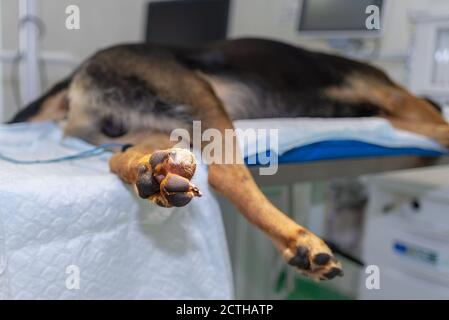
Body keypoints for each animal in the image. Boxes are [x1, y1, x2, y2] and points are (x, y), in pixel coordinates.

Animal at [7, 38, 448, 282]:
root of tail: (79, 72)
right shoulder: (394, 98)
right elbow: (435, 121)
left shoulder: (391, 113)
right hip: (200, 98)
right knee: (227, 175)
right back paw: (300, 241)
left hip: (152, 132)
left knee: (122, 163)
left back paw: (153, 178)